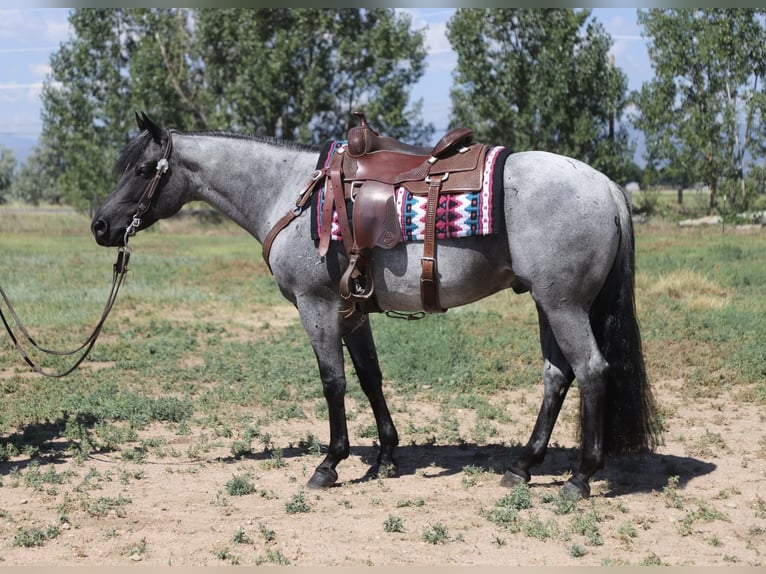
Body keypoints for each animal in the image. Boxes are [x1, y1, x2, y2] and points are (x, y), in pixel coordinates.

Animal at [91, 113, 659, 498]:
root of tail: (606, 186)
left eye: (144, 169)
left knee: (591, 370)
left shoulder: (316, 306)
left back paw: (580, 477)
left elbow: (333, 381)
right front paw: (384, 456)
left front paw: (329, 464)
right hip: (548, 305)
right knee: (557, 376)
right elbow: (370, 377)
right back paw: (524, 465)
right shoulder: (352, 310)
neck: (292, 195)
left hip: (564, 305)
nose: (100, 226)